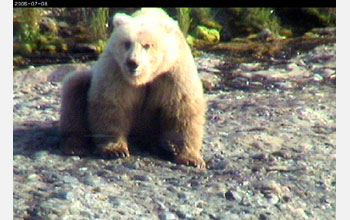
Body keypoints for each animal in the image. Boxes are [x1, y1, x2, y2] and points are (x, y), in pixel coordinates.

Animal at [59, 7, 206, 168]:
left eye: (147, 45)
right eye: (127, 43)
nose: (132, 63)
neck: (145, 78)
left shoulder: (174, 73)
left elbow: (183, 108)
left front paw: (191, 158)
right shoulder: (116, 71)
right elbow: (112, 104)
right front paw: (116, 150)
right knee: (75, 86)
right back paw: (75, 145)